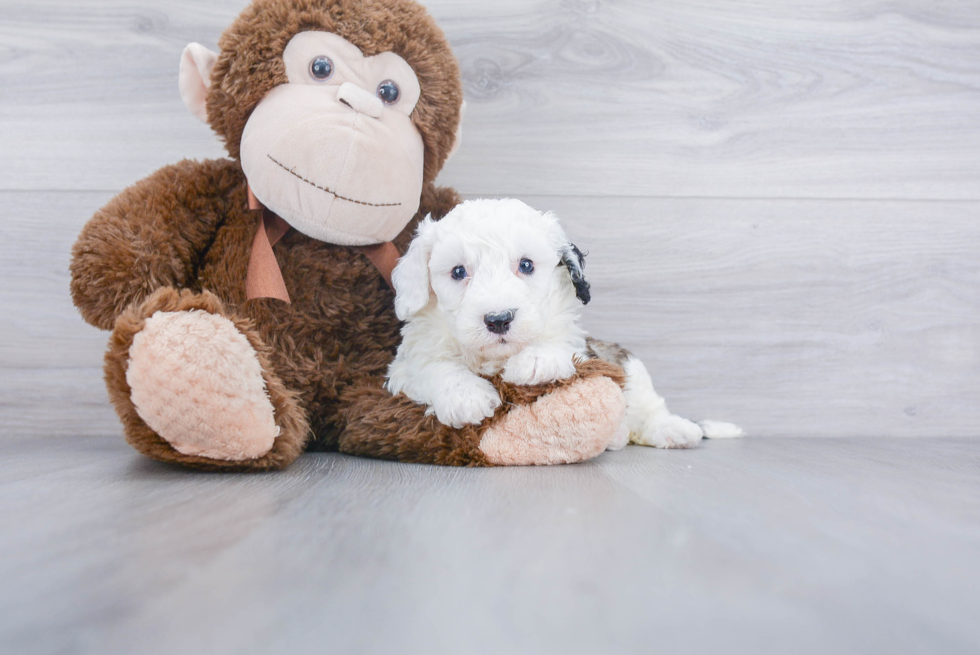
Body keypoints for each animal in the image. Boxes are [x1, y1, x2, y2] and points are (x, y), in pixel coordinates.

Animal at [384, 197, 744, 448]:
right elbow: (433, 367)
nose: (498, 320)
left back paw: (673, 429)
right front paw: (466, 397)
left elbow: (557, 344)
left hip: (630, 366)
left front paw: (535, 360)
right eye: (458, 271)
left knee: (648, 405)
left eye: (526, 265)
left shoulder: (577, 344)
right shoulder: (405, 367)